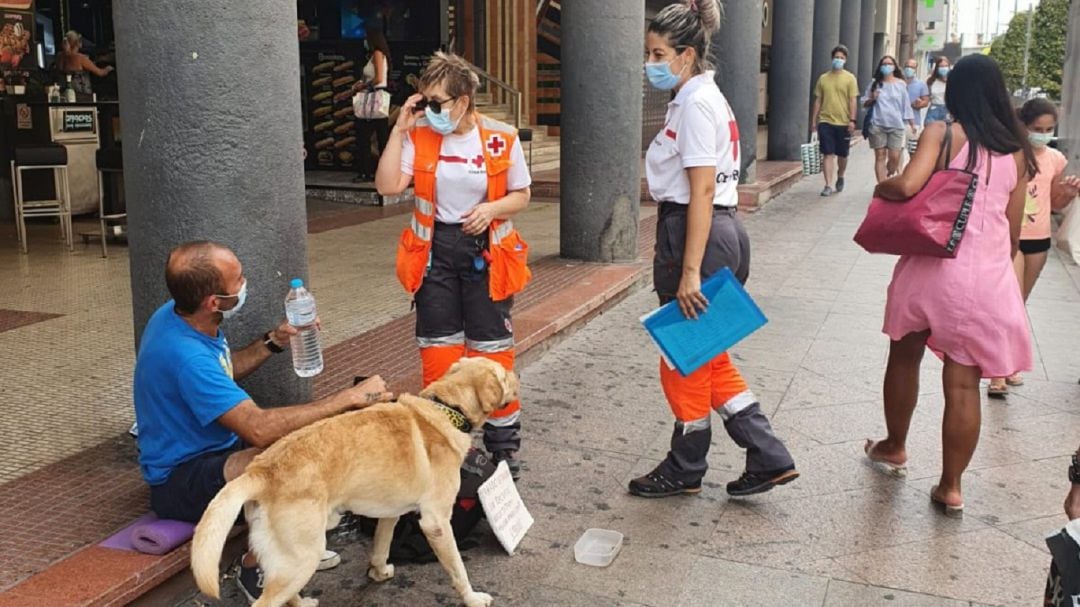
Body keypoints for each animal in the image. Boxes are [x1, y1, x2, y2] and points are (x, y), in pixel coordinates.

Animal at [191, 354, 518, 604]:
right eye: (503, 376)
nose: (515, 377)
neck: (447, 408)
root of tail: (260, 469)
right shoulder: (436, 522)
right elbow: (458, 570)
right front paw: (472, 598)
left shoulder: (391, 513)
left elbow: (381, 545)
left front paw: (378, 572)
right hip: (302, 557)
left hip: (288, 556)